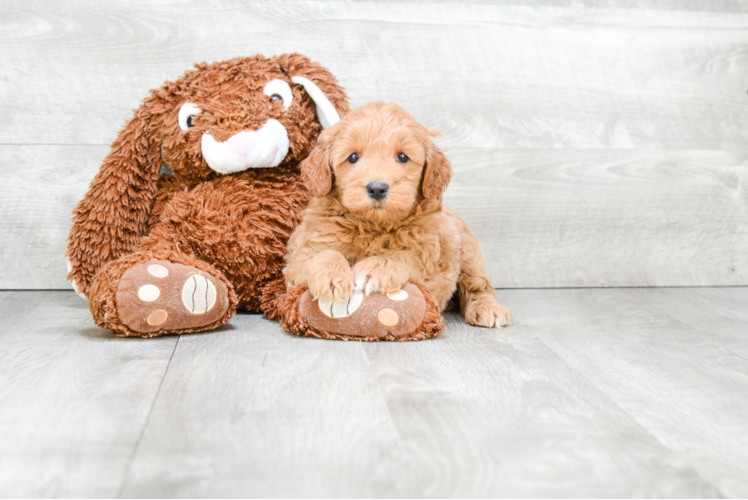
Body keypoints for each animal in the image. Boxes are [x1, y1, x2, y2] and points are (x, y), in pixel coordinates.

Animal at [284, 101, 512, 330]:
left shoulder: (430, 261)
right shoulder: (299, 259)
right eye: (353, 157)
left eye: (402, 157)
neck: (374, 226)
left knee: (479, 285)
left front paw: (376, 268)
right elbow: (322, 254)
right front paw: (332, 276)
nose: (377, 188)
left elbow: (405, 256)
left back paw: (488, 308)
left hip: (467, 251)